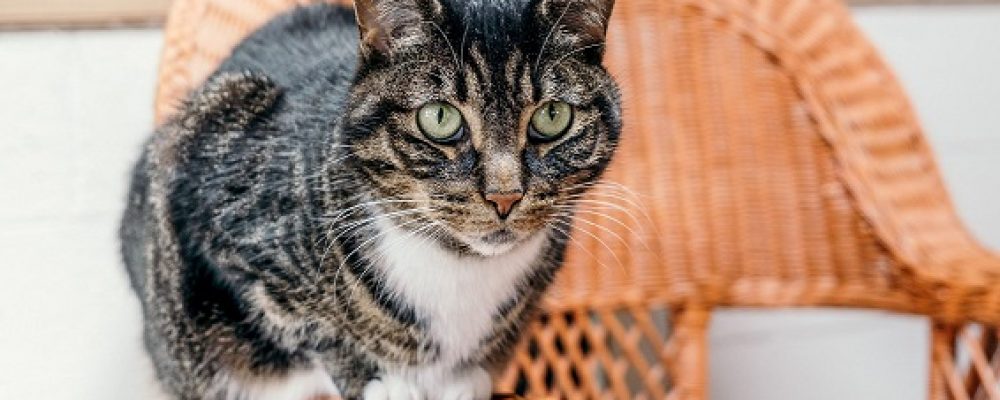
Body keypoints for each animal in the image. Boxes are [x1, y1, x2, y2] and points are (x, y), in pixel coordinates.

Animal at [120, 0, 621, 398]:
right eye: (439, 118)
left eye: (552, 116)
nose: (505, 196)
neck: (457, 264)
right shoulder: (234, 227)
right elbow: (314, 329)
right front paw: (380, 384)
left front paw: (465, 380)